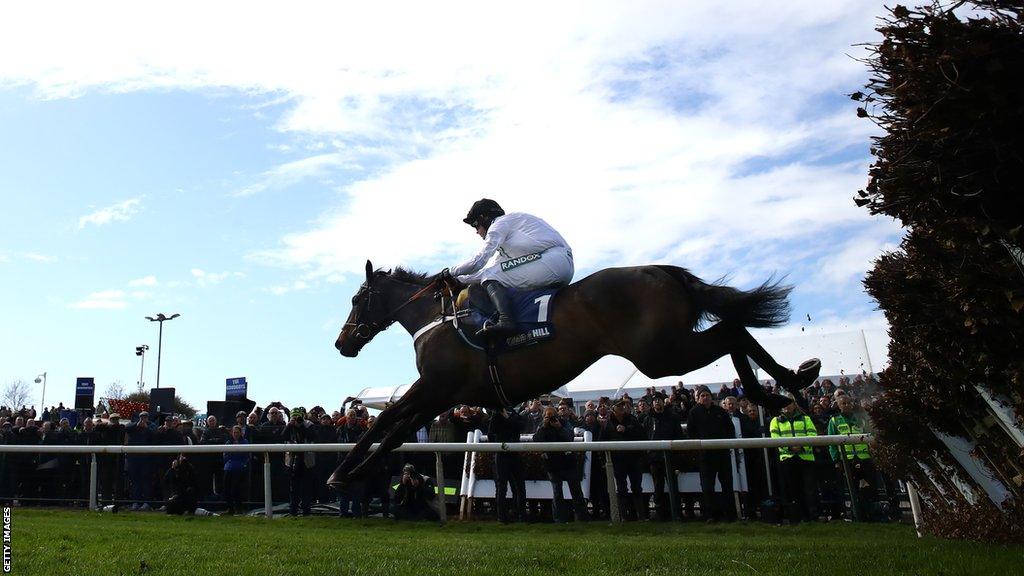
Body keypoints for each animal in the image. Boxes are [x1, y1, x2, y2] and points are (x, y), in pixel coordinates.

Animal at [323, 260, 819, 483]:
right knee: (734, 330)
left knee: (732, 332)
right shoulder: (441, 397)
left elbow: (386, 421)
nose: (342, 343)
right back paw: (789, 384)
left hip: (660, 354)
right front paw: (361, 469)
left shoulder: (434, 387)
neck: (438, 316)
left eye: (356, 299)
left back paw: (785, 384)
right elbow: (395, 432)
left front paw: (342, 471)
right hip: (666, 349)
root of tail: (660, 270)